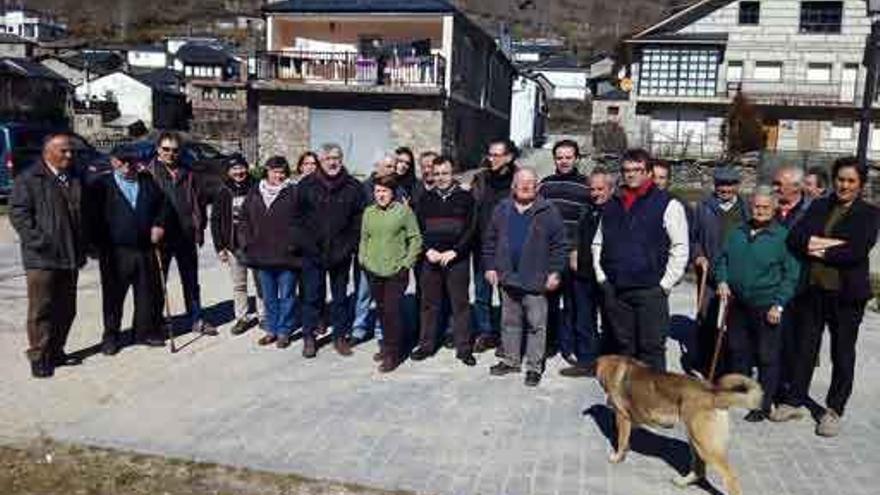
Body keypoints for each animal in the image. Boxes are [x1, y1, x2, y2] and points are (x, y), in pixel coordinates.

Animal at [600, 356, 764, 495]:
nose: (607, 402)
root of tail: (713, 394)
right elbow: (625, 441)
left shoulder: (622, 418)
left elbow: (621, 441)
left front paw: (617, 457)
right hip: (695, 441)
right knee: (699, 470)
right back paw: (682, 482)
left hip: (705, 446)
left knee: (730, 477)